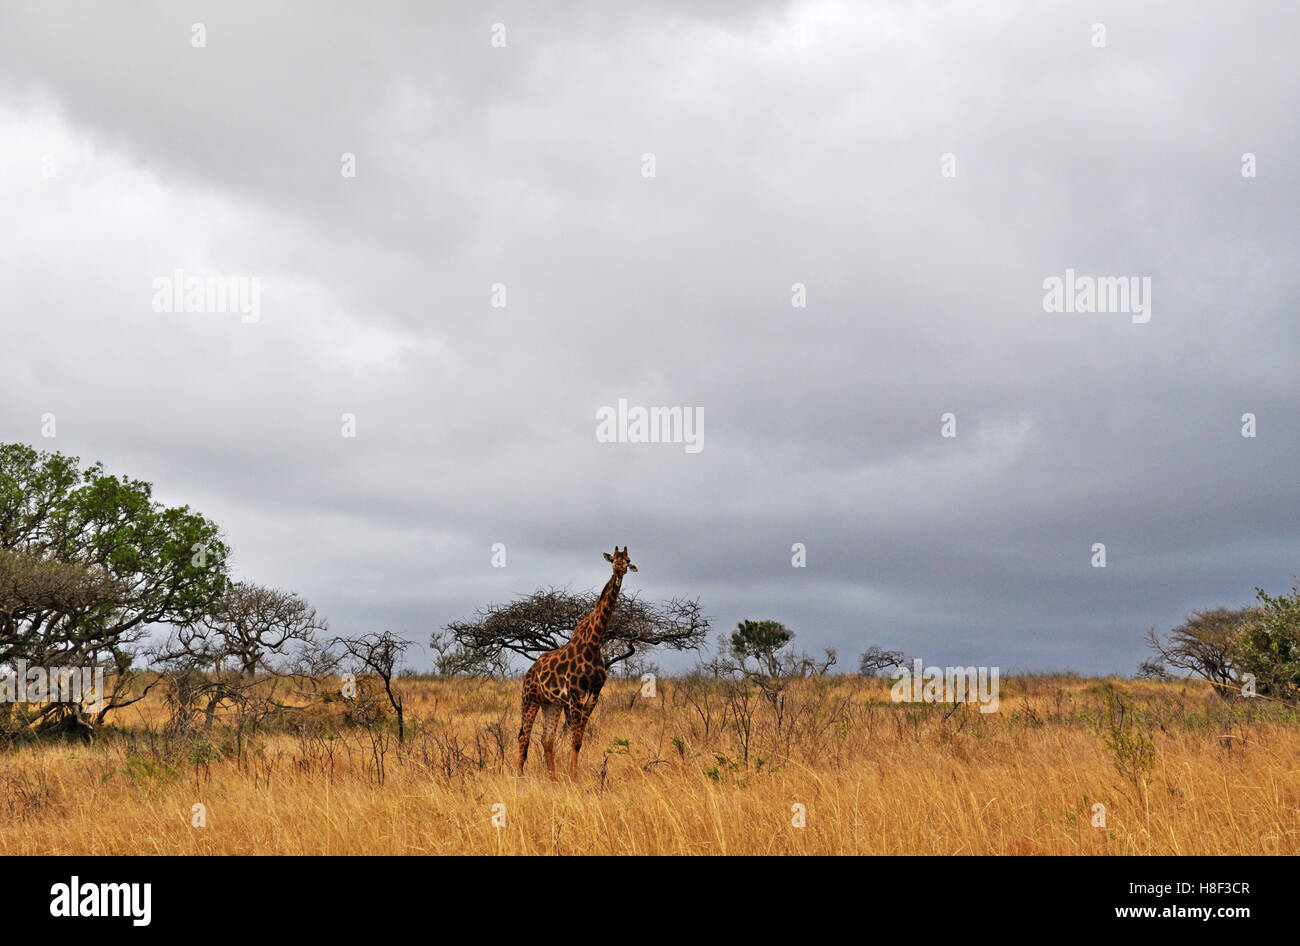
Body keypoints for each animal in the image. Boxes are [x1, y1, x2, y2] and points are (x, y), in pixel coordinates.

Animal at [517, 543, 639, 779]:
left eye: (627, 560)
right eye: (613, 560)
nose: (620, 569)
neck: (594, 643)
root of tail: (529, 672)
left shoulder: (593, 695)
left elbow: (578, 740)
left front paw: (572, 776)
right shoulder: (575, 695)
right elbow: (574, 738)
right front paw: (574, 778)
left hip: (551, 703)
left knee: (546, 739)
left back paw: (553, 779)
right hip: (530, 698)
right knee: (523, 736)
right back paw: (518, 776)